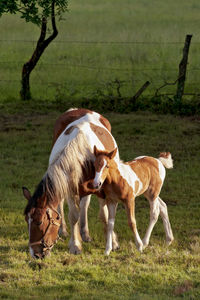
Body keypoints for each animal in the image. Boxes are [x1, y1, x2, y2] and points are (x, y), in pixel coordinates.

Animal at [22, 108, 119, 258]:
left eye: (39, 222)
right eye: (27, 220)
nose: (35, 254)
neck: (82, 156)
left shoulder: (101, 189)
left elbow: (105, 215)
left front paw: (112, 242)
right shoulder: (70, 189)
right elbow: (73, 216)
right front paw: (75, 245)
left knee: (85, 205)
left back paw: (85, 233)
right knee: (63, 205)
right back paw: (64, 231)